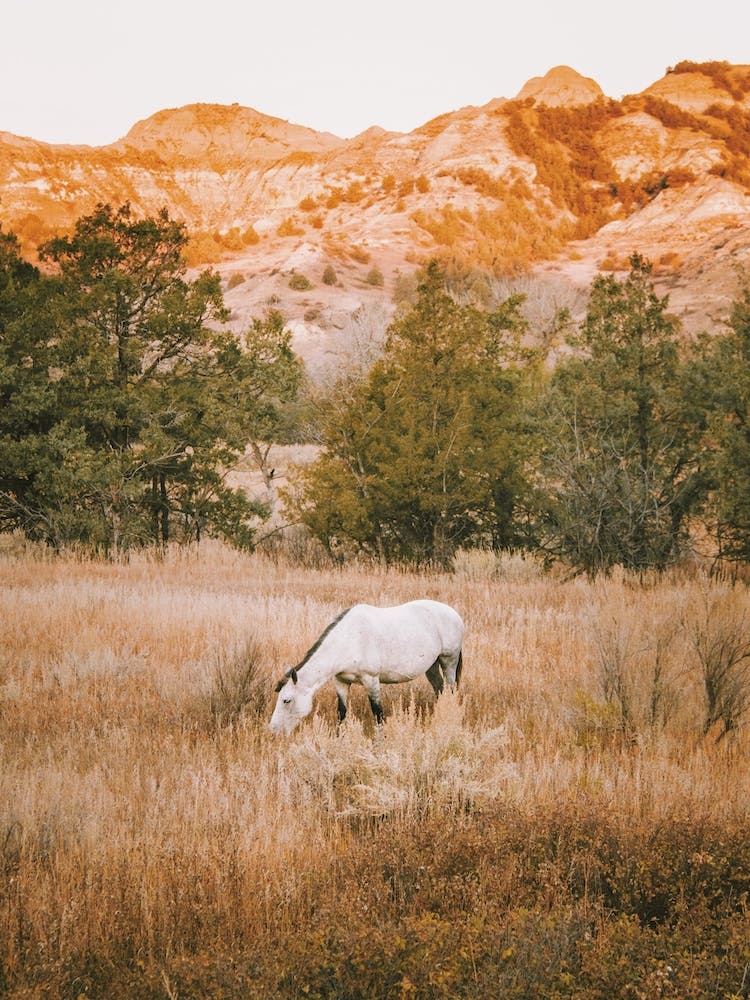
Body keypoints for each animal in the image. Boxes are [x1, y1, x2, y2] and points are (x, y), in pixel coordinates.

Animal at [269, 599, 464, 735]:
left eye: (286, 700)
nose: (273, 730)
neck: (350, 639)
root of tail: (454, 614)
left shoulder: (371, 680)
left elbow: (378, 713)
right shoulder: (340, 681)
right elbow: (342, 712)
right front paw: (339, 738)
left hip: (449, 661)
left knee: (451, 690)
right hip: (431, 666)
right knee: (440, 690)